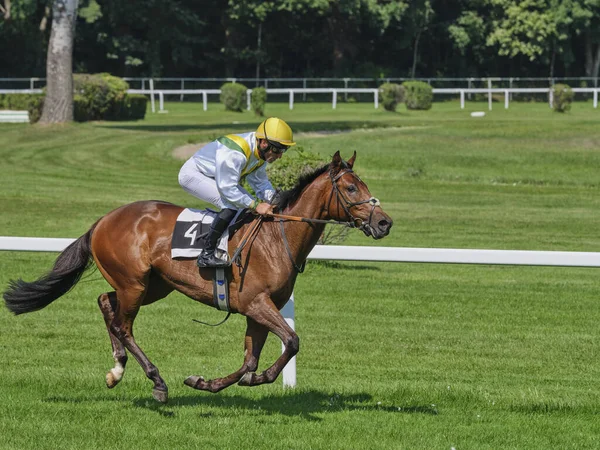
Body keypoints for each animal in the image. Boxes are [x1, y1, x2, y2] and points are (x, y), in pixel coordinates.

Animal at [3, 149, 394, 402]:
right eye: (351, 188)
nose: (384, 222)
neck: (275, 237)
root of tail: (102, 220)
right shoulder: (256, 303)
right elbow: (292, 341)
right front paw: (260, 378)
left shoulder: (257, 309)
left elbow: (250, 360)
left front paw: (208, 382)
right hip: (134, 283)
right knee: (123, 325)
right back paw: (156, 382)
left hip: (152, 285)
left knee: (105, 302)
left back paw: (117, 369)